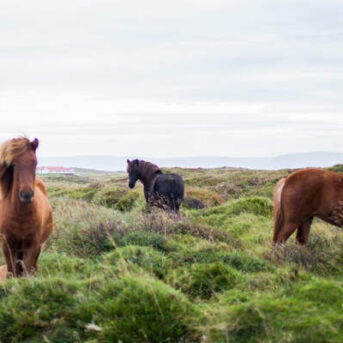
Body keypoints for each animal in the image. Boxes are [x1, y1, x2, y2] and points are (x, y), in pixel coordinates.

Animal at [0, 137, 53, 280]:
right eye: (14, 164)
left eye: (35, 163)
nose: (27, 195)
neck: (20, 215)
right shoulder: (7, 244)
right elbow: (11, 271)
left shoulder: (32, 245)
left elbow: (26, 272)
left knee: (33, 267)